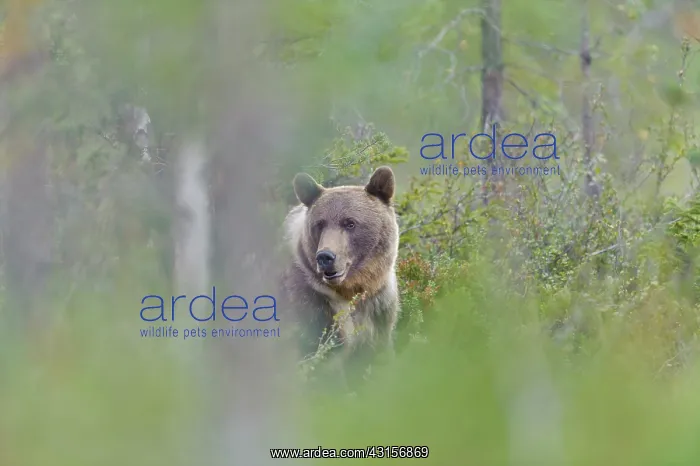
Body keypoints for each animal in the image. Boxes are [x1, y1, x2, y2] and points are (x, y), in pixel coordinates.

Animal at [281, 166, 401, 375]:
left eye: (350, 223)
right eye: (320, 223)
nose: (325, 257)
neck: (350, 289)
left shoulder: (379, 308)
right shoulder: (315, 306)